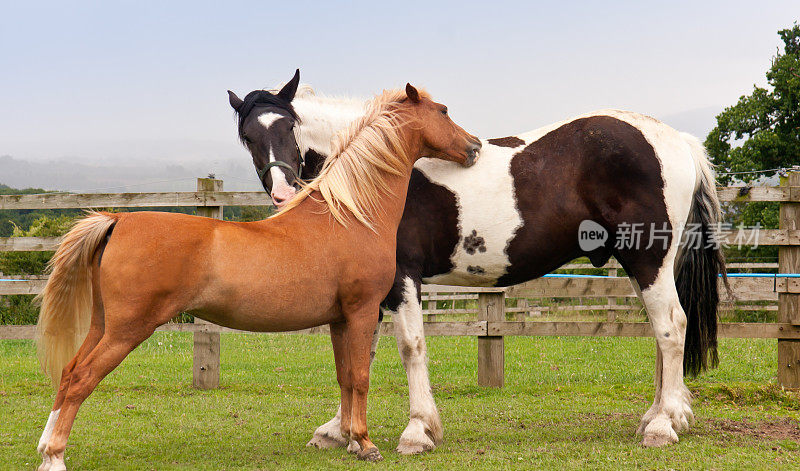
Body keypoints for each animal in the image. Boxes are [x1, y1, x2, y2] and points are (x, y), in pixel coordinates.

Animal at [34, 84, 482, 468]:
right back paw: (54, 457)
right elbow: (360, 376)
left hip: (102, 326)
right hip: (127, 330)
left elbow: (344, 378)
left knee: (69, 374)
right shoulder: (362, 311)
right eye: (443, 111)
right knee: (81, 380)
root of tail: (117, 221)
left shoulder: (339, 320)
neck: (349, 214)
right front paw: (366, 443)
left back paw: (45, 446)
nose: (474, 146)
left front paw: (347, 439)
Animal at [228, 69, 728, 454]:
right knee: (662, 334)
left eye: (290, 125)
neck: (375, 173)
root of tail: (676, 140)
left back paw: (663, 425)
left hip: (648, 259)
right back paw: (657, 416)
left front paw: (417, 431)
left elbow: (409, 346)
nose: (282, 193)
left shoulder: (402, 278)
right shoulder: (367, 291)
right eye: (248, 136)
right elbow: (359, 355)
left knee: (671, 327)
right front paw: (338, 431)